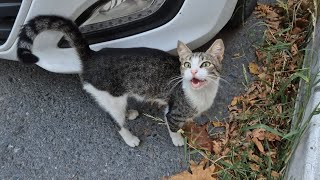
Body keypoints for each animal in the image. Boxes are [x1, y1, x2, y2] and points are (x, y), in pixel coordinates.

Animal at [16, 15, 224, 147]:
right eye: (187, 65)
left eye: (205, 64)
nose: (194, 71)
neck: (202, 94)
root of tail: (92, 56)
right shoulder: (175, 111)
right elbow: (171, 124)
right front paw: (178, 139)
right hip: (112, 96)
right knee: (115, 119)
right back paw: (129, 137)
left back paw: (129, 113)